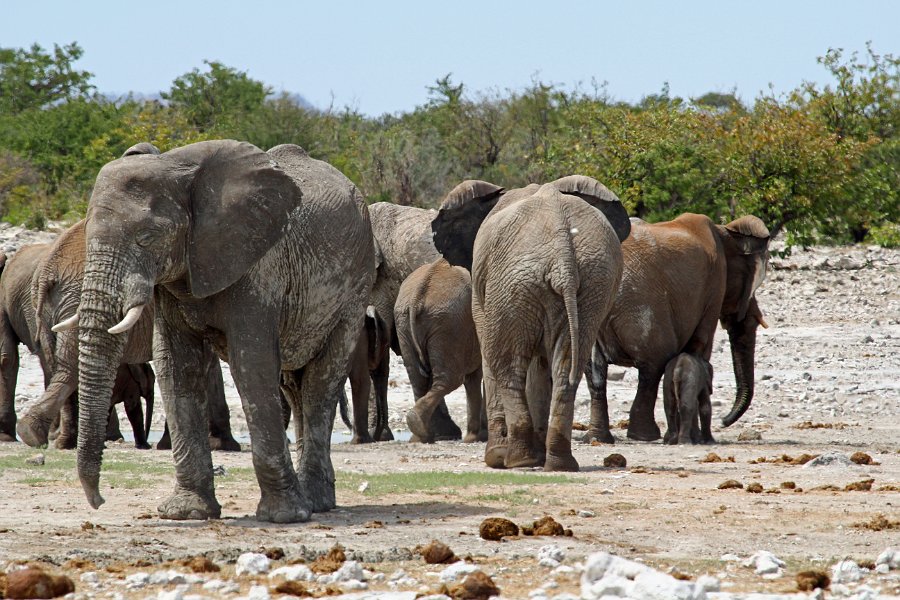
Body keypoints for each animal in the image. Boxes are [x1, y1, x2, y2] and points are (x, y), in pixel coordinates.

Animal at [55, 139, 372, 520]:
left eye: (147, 237)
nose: (100, 501)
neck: (175, 167)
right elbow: (176, 367)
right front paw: (186, 512)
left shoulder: (258, 265)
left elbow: (252, 364)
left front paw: (282, 517)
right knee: (295, 385)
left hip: (355, 288)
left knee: (320, 385)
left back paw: (315, 502)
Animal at [398, 258, 486, 446]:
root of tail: (418, 296)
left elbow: (474, 379)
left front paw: (474, 438)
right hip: (449, 324)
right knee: (451, 379)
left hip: (406, 323)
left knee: (418, 379)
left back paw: (420, 435)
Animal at [588, 213, 768, 442]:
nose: (724, 421)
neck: (726, 231)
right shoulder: (714, 286)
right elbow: (700, 346)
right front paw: (698, 439)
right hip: (640, 308)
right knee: (652, 365)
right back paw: (645, 436)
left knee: (595, 373)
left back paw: (599, 438)